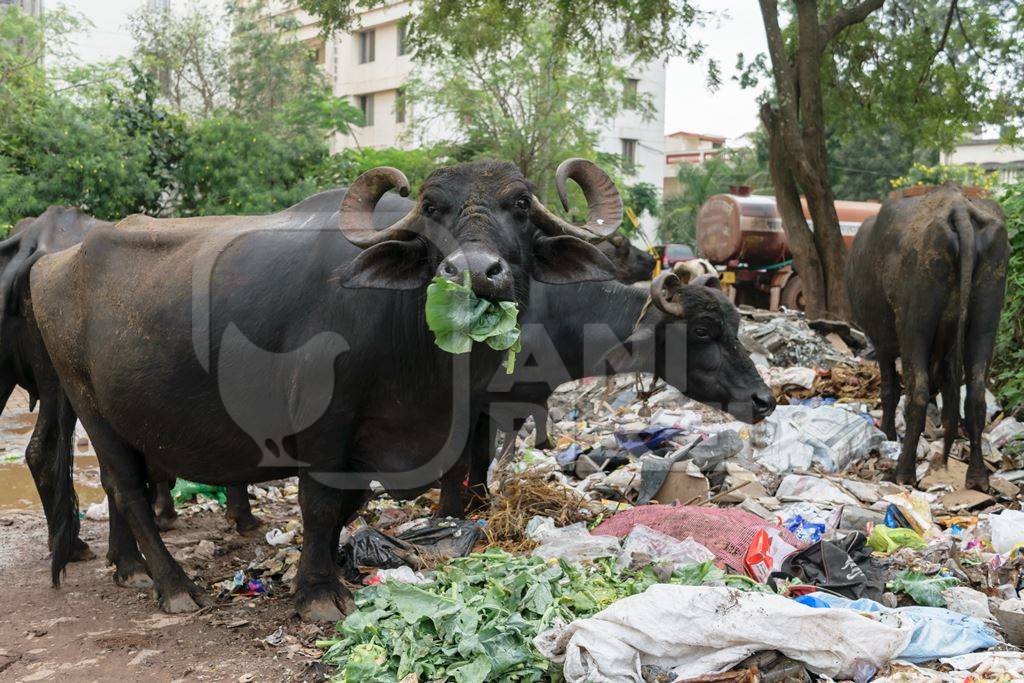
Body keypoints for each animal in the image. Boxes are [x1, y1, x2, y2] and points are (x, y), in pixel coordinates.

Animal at [847, 184, 1007, 489]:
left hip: (914, 326)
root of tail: (959, 207)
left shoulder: (883, 343)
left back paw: (903, 472)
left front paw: (888, 433)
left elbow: (890, 390)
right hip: (986, 322)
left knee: (917, 392)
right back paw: (977, 476)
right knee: (976, 396)